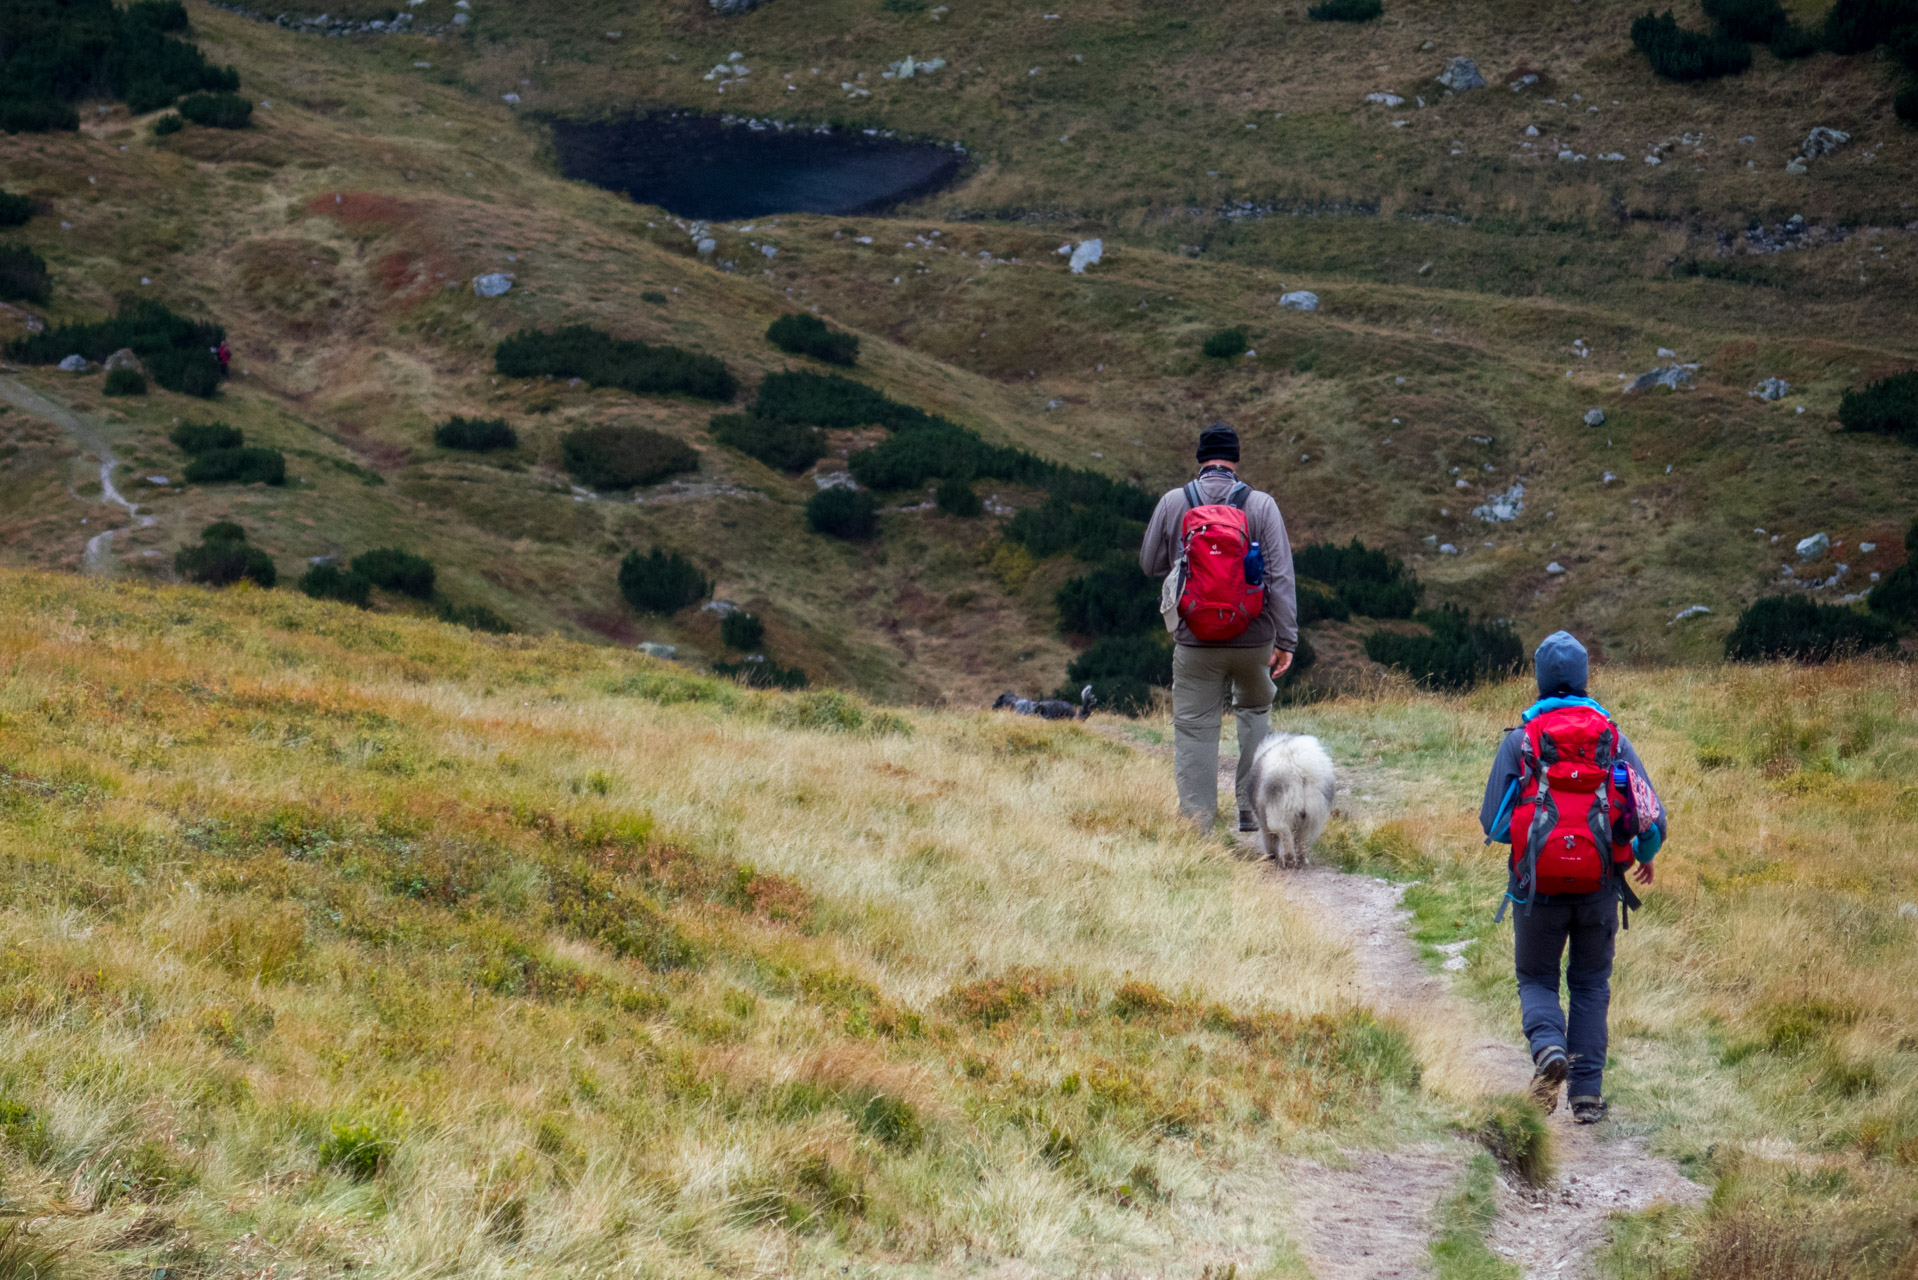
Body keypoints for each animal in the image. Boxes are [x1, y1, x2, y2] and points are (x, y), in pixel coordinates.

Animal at [1242, 729, 1334, 871]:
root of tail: (1301, 767)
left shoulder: (1263, 820)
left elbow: (1269, 837)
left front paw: (1271, 856)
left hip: (1281, 806)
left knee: (1283, 832)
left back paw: (1289, 859)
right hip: (1314, 810)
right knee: (1303, 837)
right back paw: (1301, 860)